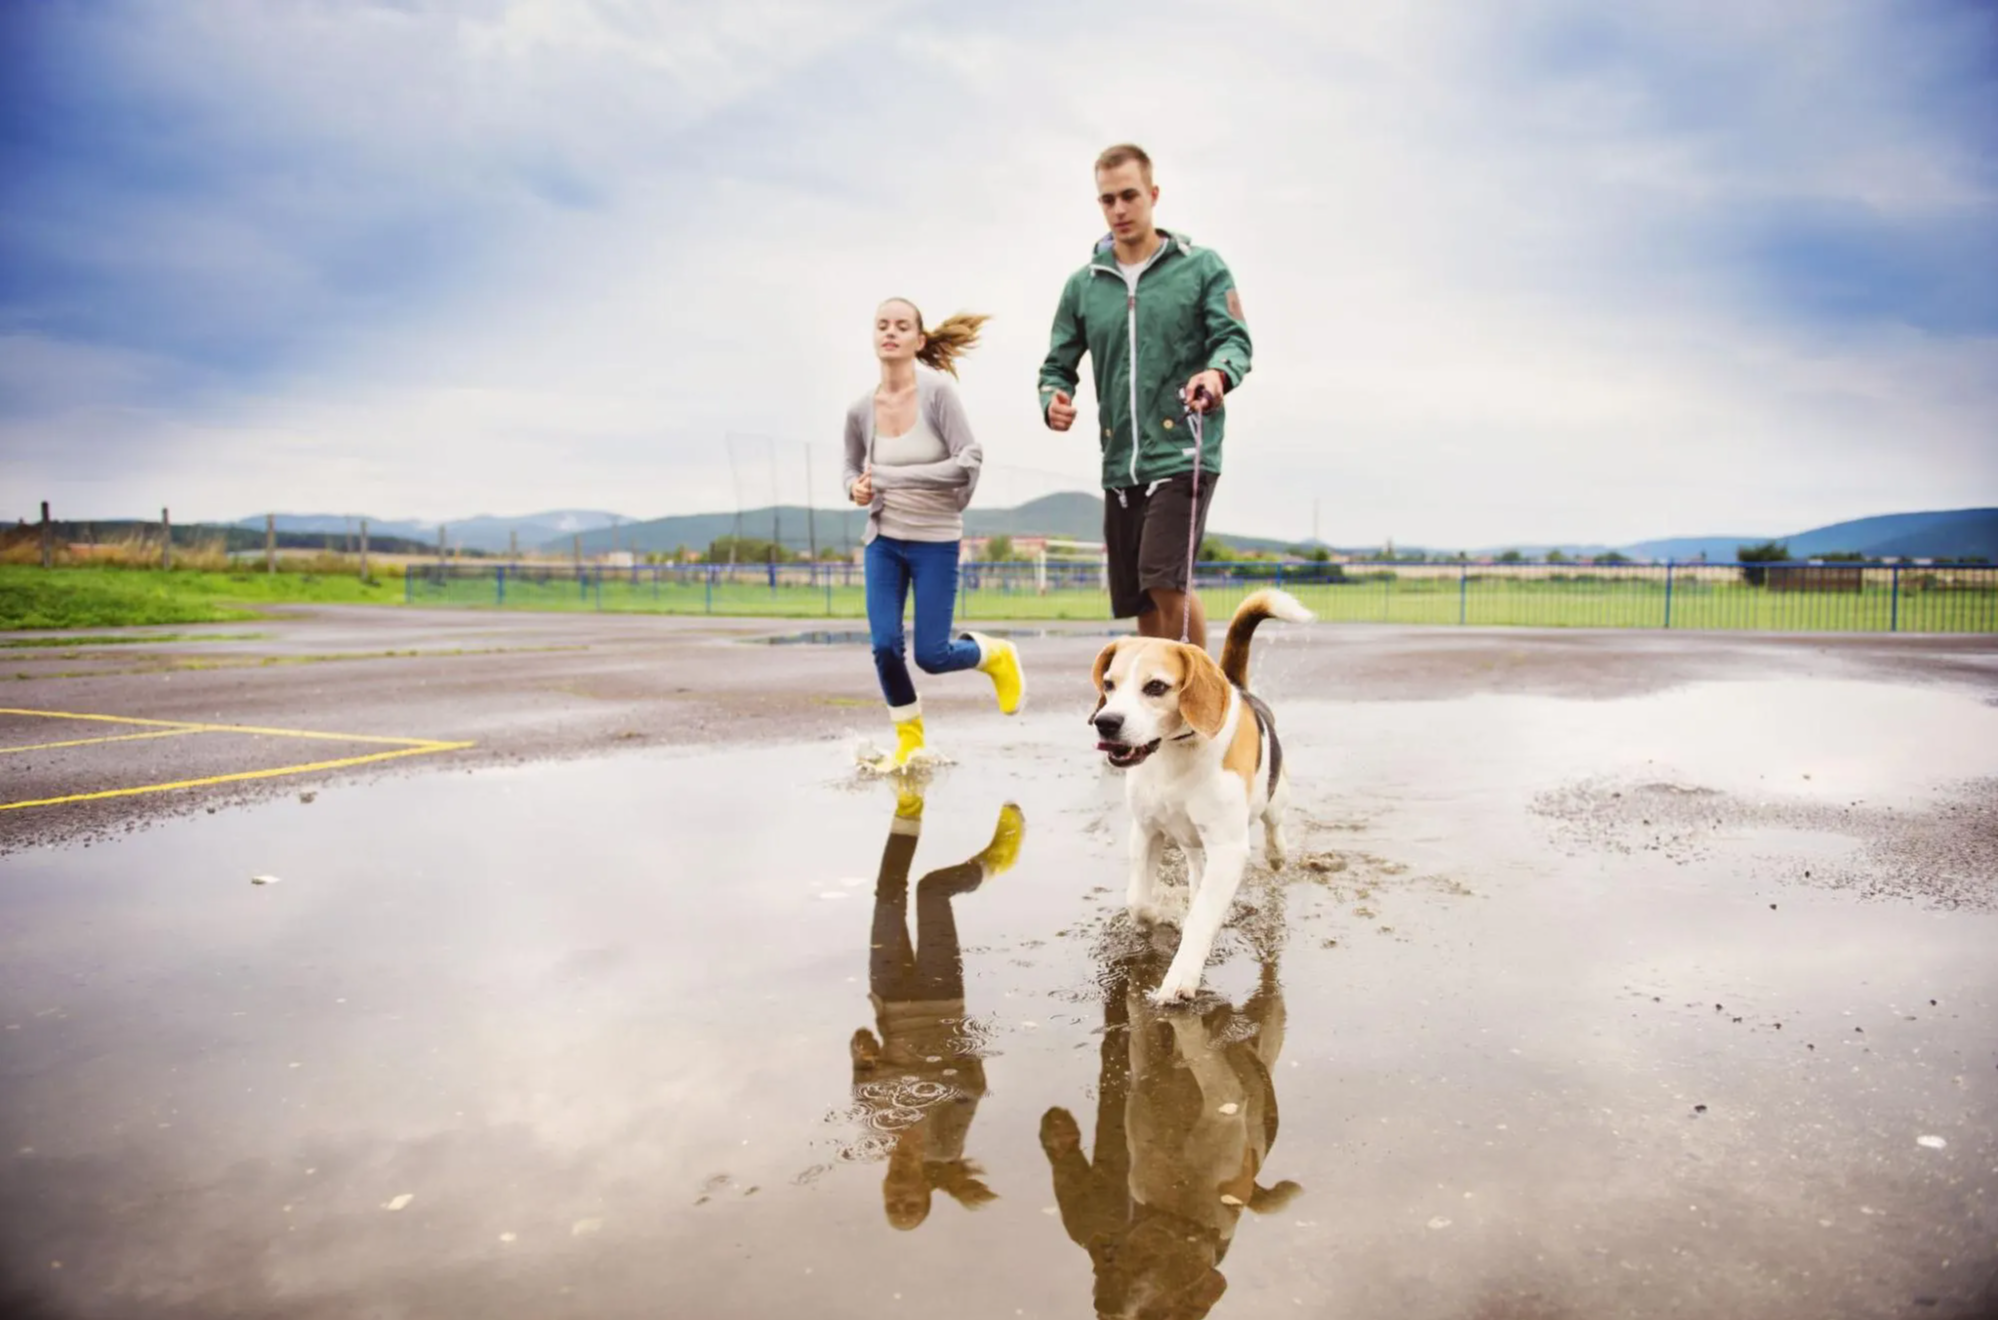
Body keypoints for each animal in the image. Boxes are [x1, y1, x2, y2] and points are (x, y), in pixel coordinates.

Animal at [1095, 588, 1311, 1000]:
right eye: (1109, 685)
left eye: (1156, 686)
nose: (1105, 722)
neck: (1176, 751)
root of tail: (1237, 685)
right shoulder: (1146, 831)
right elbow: (1138, 901)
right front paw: (1160, 916)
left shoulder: (1228, 848)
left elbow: (1201, 919)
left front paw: (1180, 978)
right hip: (1188, 835)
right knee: (1195, 864)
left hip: (1275, 798)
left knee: (1273, 826)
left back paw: (1277, 853)